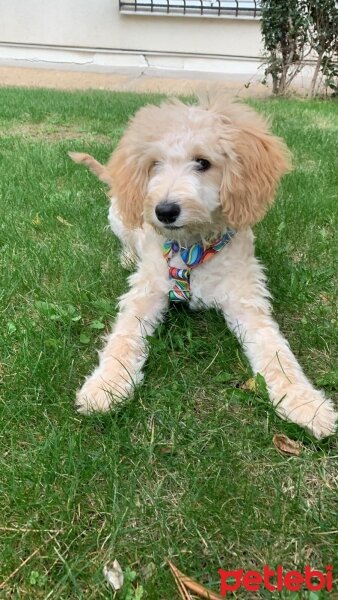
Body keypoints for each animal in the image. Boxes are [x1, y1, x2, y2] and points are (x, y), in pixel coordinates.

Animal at [70, 95, 336, 440]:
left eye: (203, 162)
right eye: (154, 163)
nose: (165, 210)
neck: (191, 248)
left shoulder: (246, 298)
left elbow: (276, 352)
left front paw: (306, 403)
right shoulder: (147, 290)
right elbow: (124, 337)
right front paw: (106, 385)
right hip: (119, 216)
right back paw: (128, 256)